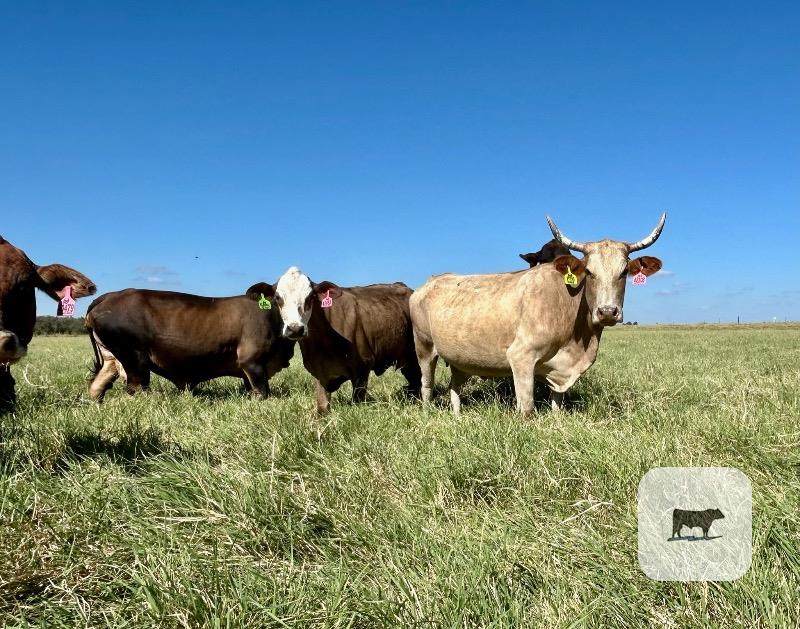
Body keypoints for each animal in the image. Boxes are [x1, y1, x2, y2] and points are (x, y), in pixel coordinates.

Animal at [85, 288, 294, 401]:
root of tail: (109, 296)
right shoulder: (253, 363)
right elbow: (262, 391)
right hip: (135, 360)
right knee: (136, 388)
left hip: (112, 358)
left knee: (97, 385)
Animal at [253, 267, 421, 414]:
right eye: (277, 298)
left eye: (310, 297)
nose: (295, 329)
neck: (324, 342)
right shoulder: (319, 373)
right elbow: (322, 407)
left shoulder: (363, 368)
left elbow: (357, 402)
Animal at [410, 214, 666, 415]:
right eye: (589, 272)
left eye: (623, 272)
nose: (608, 312)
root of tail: (432, 280)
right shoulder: (521, 357)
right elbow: (527, 409)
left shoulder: (560, 369)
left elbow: (557, 406)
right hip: (424, 347)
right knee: (426, 385)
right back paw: (427, 412)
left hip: (460, 358)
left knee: (455, 385)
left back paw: (457, 415)